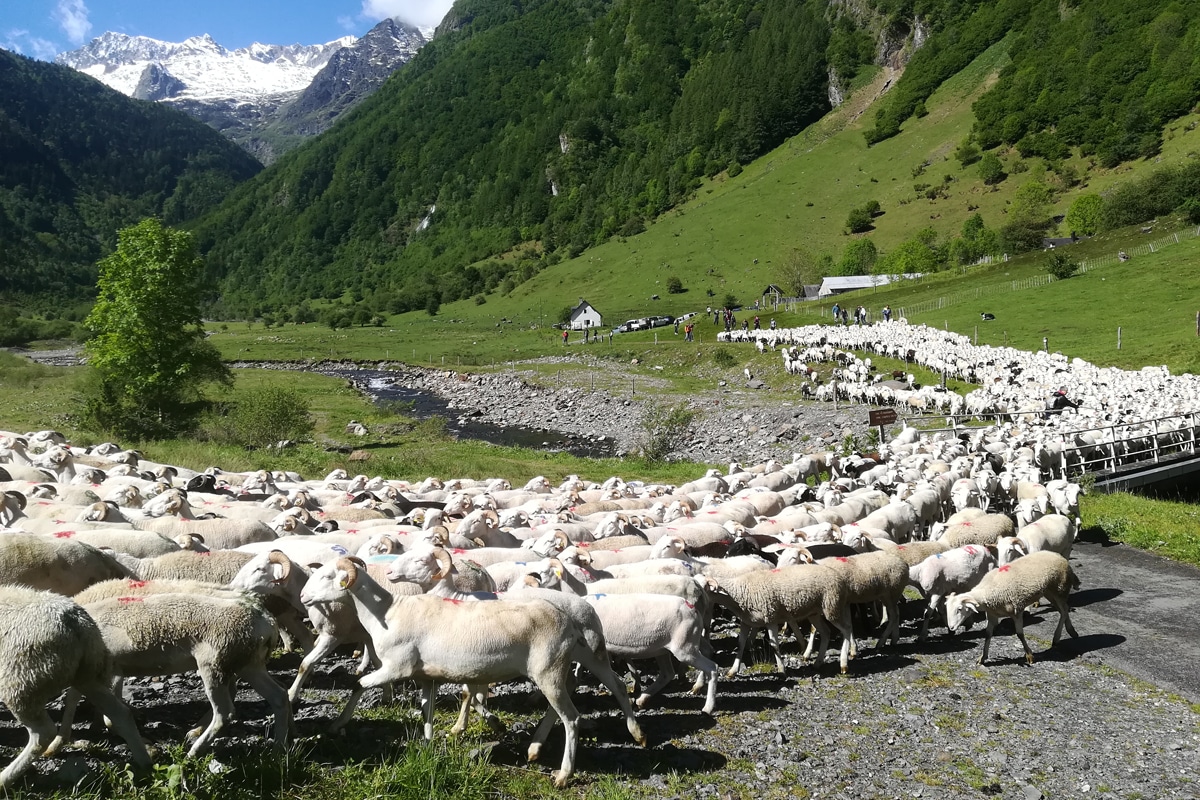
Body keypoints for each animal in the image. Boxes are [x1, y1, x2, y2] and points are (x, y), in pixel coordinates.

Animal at [0, 585, 152, 791]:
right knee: (121, 714)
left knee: (43, 733)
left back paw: (4, 779)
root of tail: (79, 625)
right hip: (86, 675)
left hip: (21, 681)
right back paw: (145, 766)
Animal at [940, 551, 1084, 662]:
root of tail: (1060, 556)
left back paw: (1056, 638)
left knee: (1064, 610)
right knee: (1063, 610)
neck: (988, 591)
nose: (951, 627)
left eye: (959, 609)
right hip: (1050, 592)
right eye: (947, 609)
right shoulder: (992, 615)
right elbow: (987, 635)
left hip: (1059, 588)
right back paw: (1071, 631)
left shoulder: (1017, 610)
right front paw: (983, 657)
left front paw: (1029, 655)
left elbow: (1020, 634)